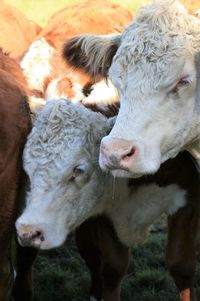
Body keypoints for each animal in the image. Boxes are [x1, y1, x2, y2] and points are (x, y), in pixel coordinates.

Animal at [16, 99, 200, 298]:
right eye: (27, 169)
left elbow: (181, 267)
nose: (28, 231)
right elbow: (113, 270)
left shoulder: (188, 199)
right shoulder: (104, 213)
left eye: (78, 170)